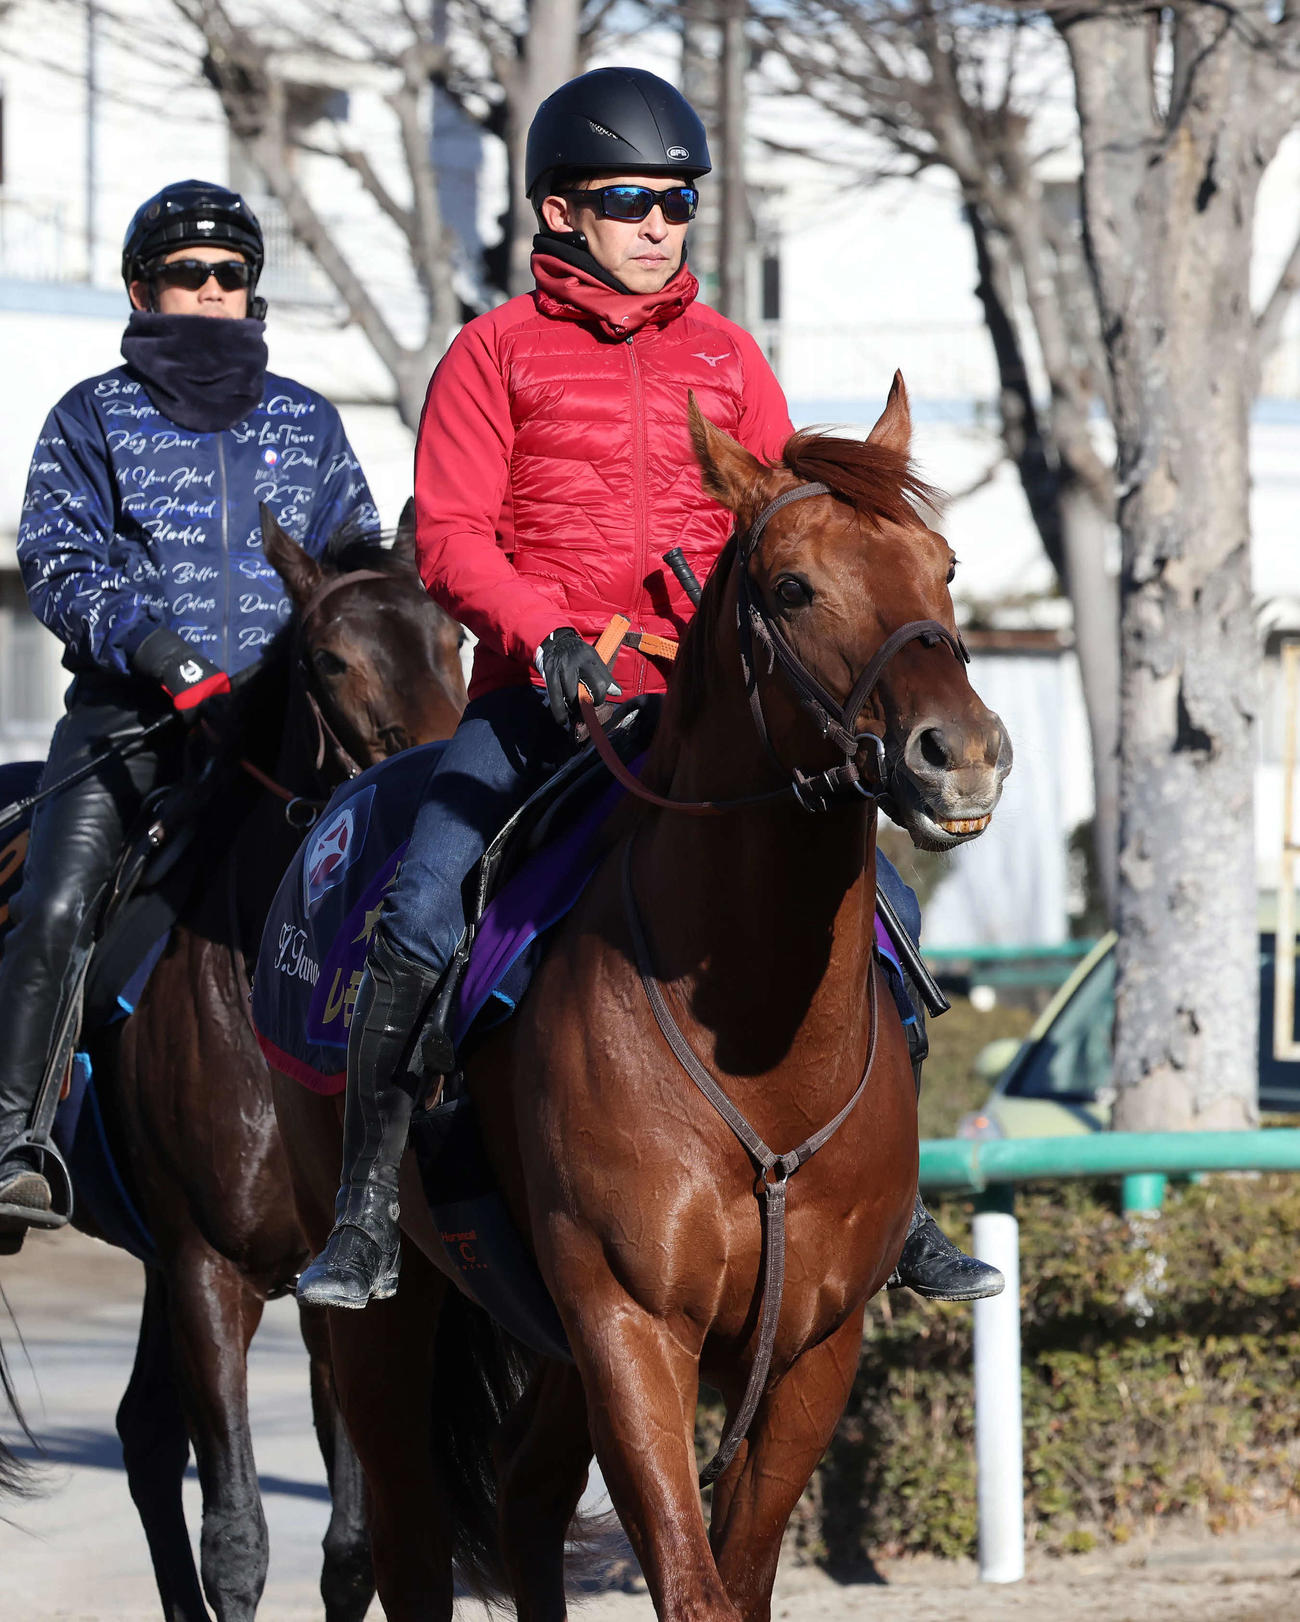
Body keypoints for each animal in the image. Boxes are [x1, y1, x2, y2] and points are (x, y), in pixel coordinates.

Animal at [0, 506, 464, 1622]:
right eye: (332, 658)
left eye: (456, 638)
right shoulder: (209, 1271)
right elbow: (239, 1539)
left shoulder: (319, 1285)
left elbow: (350, 1548)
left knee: (140, 1432)